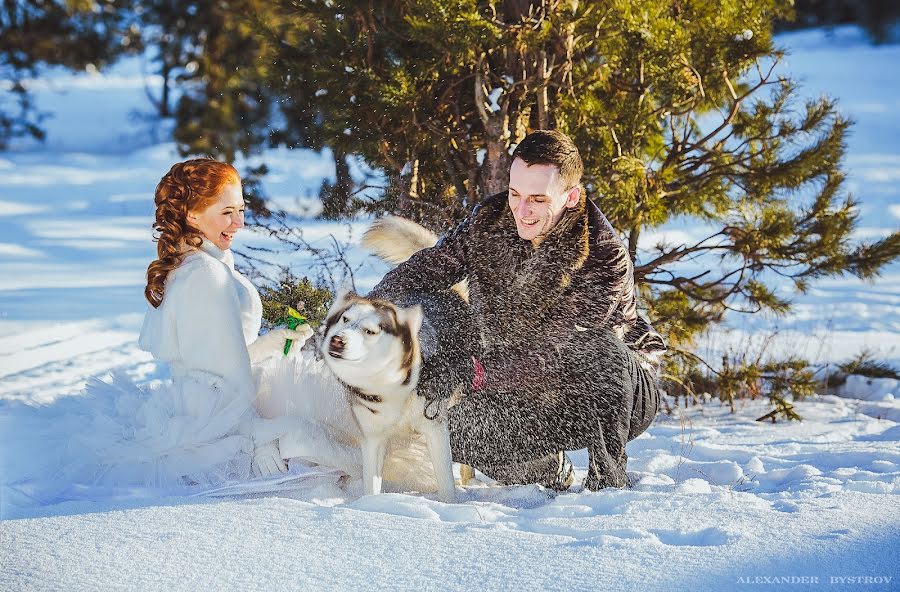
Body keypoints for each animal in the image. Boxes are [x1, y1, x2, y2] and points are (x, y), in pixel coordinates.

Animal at [320, 294, 458, 502]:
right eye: (345, 319)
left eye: (370, 331)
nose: (337, 340)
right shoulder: (372, 437)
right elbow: (371, 485)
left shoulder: (435, 428)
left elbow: (447, 485)